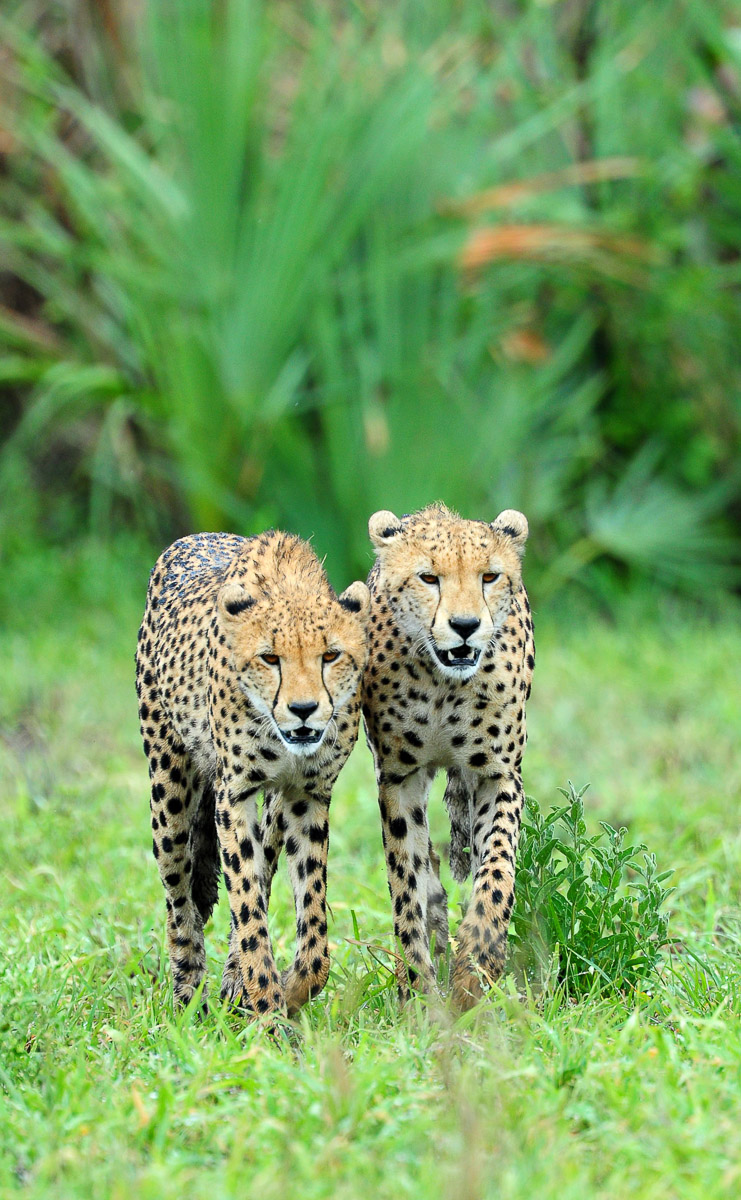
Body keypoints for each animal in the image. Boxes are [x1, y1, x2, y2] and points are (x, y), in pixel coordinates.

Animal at [136, 530, 370, 1018]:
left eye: (330, 655)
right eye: (270, 658)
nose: (304, 710)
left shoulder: (307, 795)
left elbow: (309, 916)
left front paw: (293, 989)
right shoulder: (234, 794)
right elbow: (246, 904)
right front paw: (267, 1006)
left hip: (271, 811)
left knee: (260, 869)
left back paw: (229, 984)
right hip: (168, 788)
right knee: (179, 898)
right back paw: (189, 997)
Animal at [361, 503, 534, 1010]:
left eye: (490, 576)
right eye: (428, 578)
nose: (465, 626)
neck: (443, 684)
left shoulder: (499, 775)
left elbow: (496, 871)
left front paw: (476, 966)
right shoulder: (397, 778)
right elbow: (406, 882)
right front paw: (419, 990)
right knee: (426, 867)